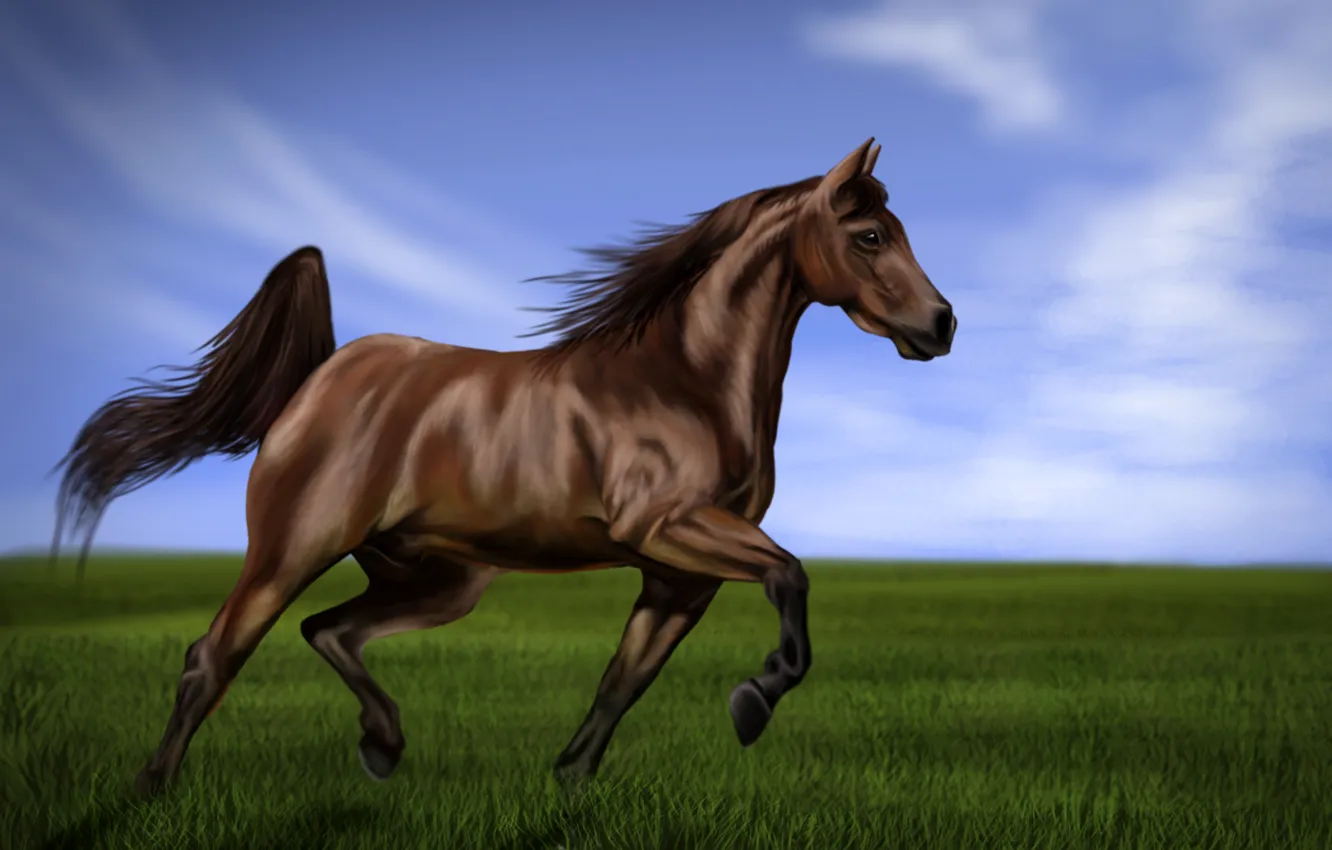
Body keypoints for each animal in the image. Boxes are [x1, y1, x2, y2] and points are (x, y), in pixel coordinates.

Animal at [51, 138, 955, 798]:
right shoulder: (670, 528)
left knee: (328, 630)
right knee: (214, 656)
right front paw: (752, 704)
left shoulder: (678, 575)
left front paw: (572, 778)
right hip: (292, 549)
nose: (940, 324)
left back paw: (383, 747)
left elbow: (624, 679)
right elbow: (790, 578)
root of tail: (320, 377)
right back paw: (151, 788)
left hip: (441, 579)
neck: (684, 379)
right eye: (871, 236)